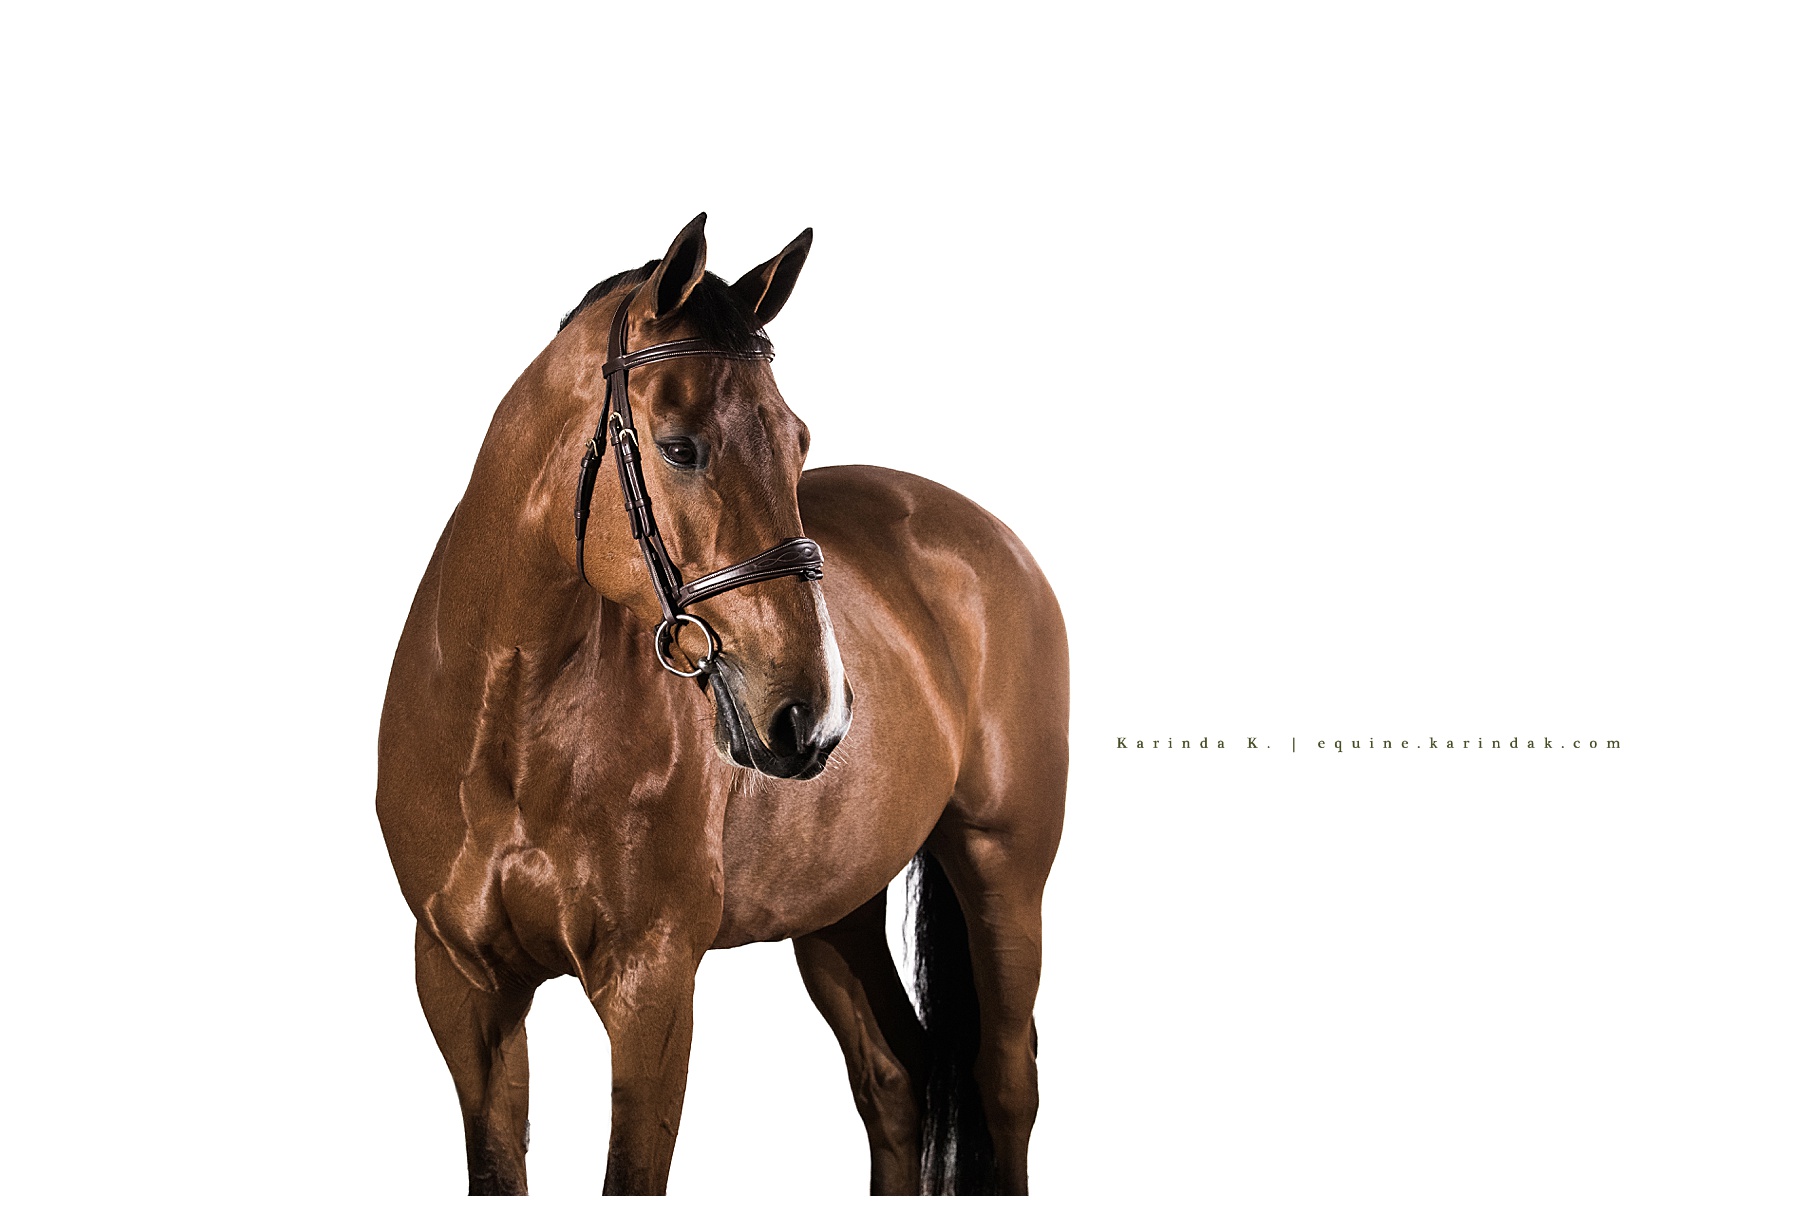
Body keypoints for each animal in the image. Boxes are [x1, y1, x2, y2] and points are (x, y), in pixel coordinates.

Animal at [376, 214, 1068, 1195]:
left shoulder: (653, 986)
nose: (814, 717)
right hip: (836, 908)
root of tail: (986, 536)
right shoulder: (461, 986)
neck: (510, 729)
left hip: (1003, 867)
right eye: (679, 446)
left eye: (797, 438)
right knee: (895, 1077)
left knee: (1003, 1081)